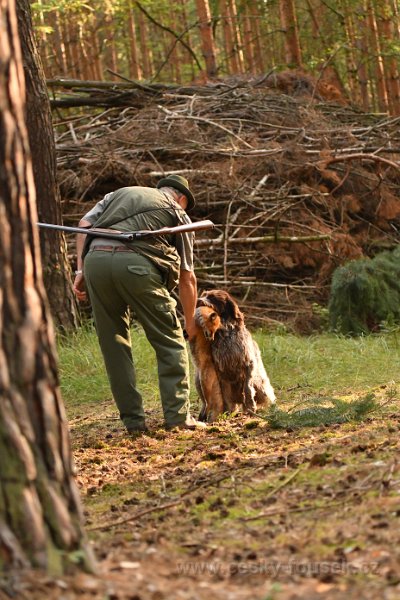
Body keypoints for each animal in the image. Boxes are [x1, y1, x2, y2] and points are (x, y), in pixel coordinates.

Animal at [192, 290, 276, 422]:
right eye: (203, 294)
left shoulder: (248, 364)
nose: (198, 300)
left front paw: (251, 406)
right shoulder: (221, 372)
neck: (225, 334)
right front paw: (226, 412)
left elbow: (247, 388)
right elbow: (225, 396)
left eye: (212, 297)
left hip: (262, 387)